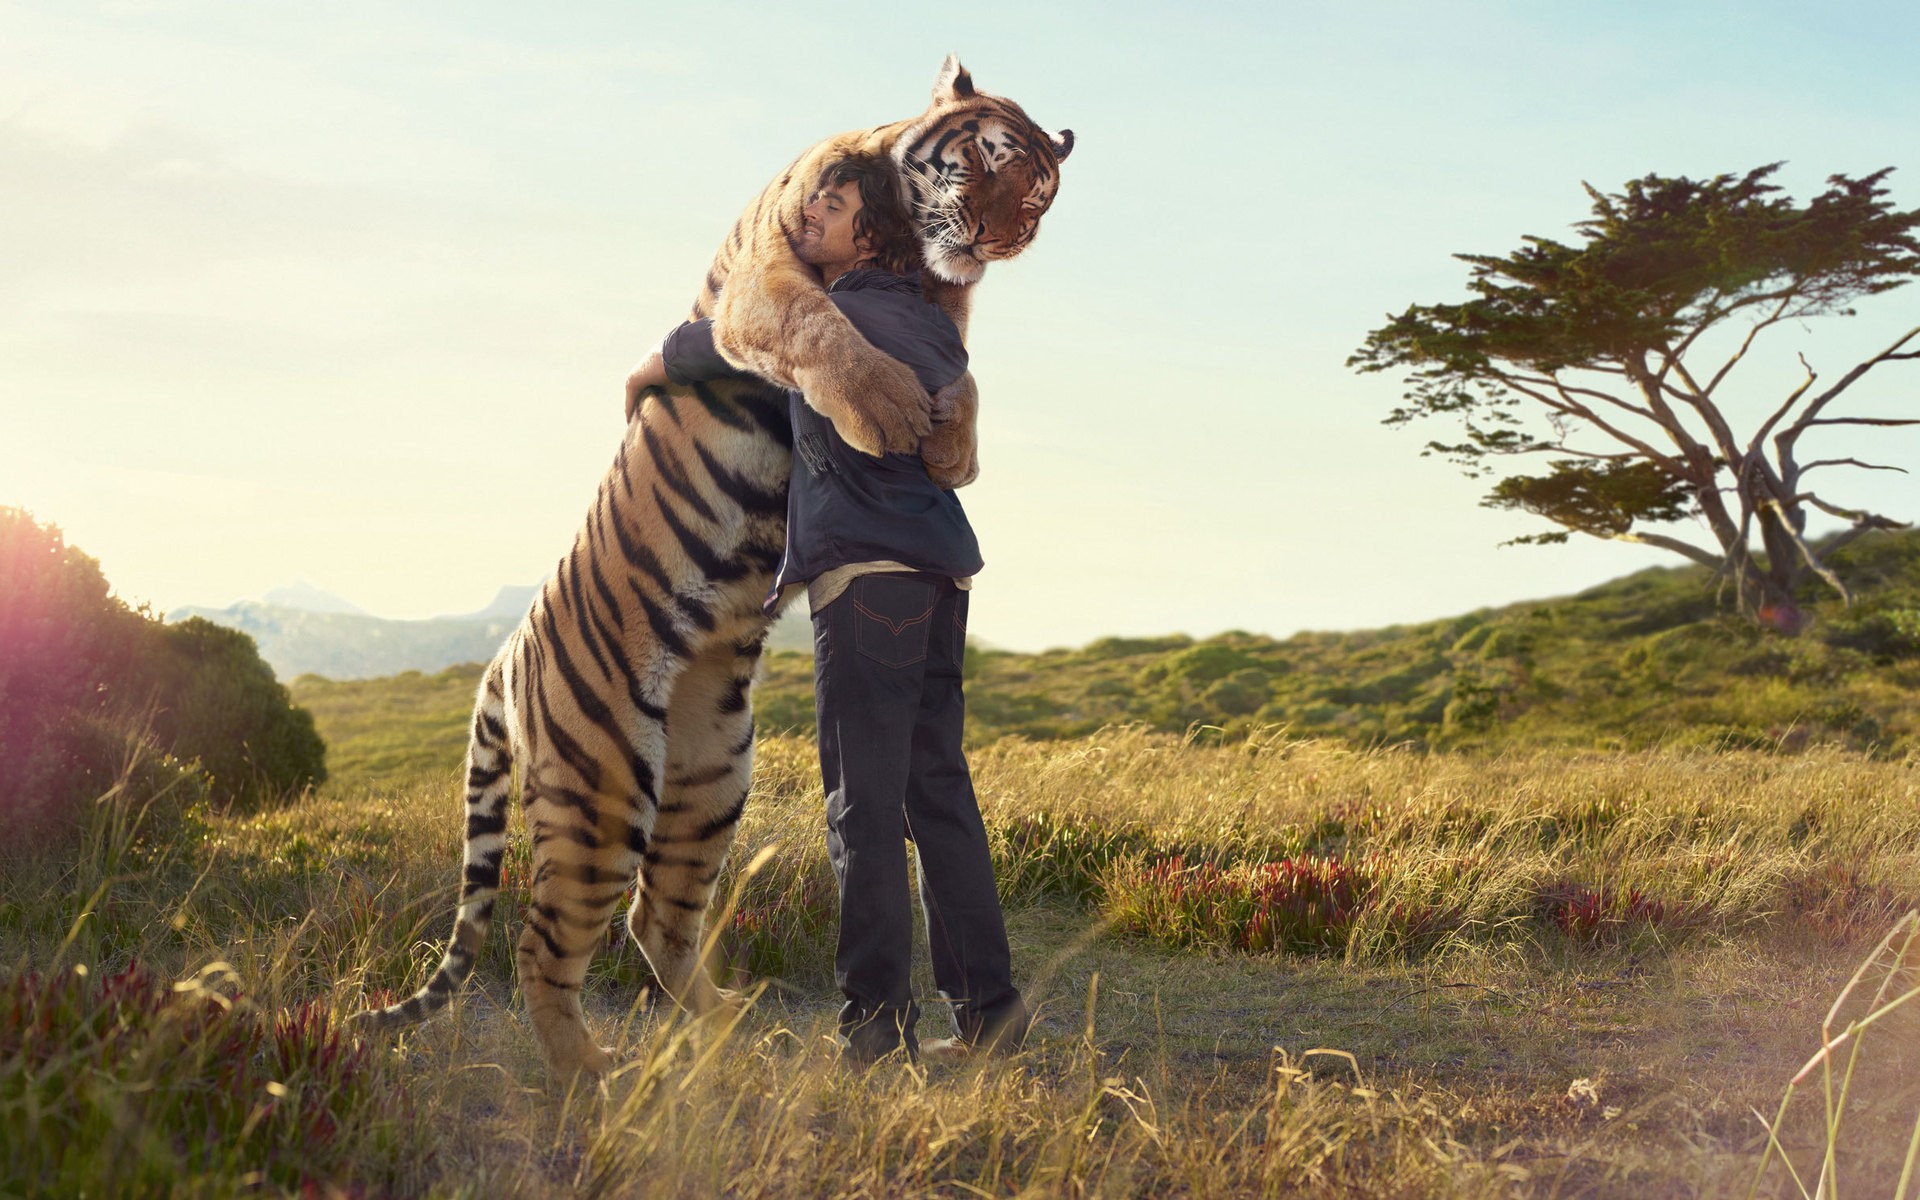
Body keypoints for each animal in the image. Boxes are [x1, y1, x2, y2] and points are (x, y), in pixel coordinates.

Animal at [357, 53, 1082, 1075]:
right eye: (986, 160)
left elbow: (965, 372)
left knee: (653, 920)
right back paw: (594, 1079)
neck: (907, 250)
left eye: (1040, 197)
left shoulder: (949, 311)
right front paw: (892, 412)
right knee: (546, 946)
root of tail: (503, 655)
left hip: (709, 780)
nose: (999, 237)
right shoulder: (768, 281)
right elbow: (821, 327)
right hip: (604, 787)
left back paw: (731, 1035)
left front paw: (951, 446)